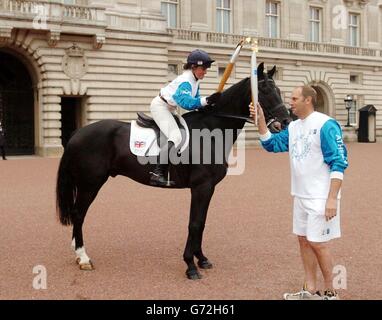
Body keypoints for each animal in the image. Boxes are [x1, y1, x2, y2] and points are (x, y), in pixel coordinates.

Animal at [56, 61, 290, 278]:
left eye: (279, 90)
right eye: (265, 90)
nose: (286, 120)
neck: (211, 131)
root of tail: (77, 134)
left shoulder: (208, 188)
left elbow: (202, 223)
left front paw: (201, 259)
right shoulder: (201, 187)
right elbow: (194, 224)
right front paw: (190, 265)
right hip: (89, 184)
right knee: (79, 214)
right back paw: (83, 257)